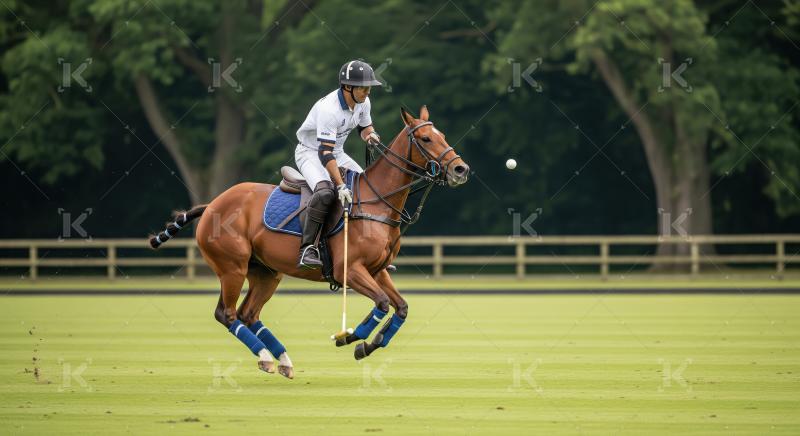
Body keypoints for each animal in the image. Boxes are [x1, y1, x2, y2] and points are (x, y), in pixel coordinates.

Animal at [148, 106, 470, 379]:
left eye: (443, 135)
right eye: (426, 138)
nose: (460, 169)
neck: (377, 202)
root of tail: (211, 205)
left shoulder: (377, 270)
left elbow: (400, 307)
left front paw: (368, 345)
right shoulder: (349, 269)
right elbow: (381, 303)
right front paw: (350, 337)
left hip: (266, 273)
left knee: (247, 313)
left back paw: (282, 360)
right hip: (231, 267)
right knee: (226, 313)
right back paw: (266, 356)